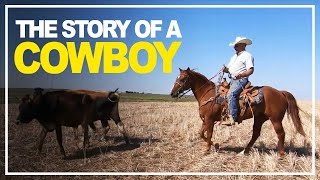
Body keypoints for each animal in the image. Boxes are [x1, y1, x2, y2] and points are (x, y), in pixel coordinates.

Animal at [171, 67, 306, 156]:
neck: (207, 94)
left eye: (183, 78)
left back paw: (281, 154)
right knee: (256, 134)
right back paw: (244, 151)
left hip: (276, 119)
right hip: (259, 118)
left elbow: (207, 134)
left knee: (281, 134)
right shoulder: (206, 120)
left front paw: (207, 150)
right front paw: (216, 146)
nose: (172, 93)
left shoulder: (209, 120)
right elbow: (201, 134)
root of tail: (280, 92)